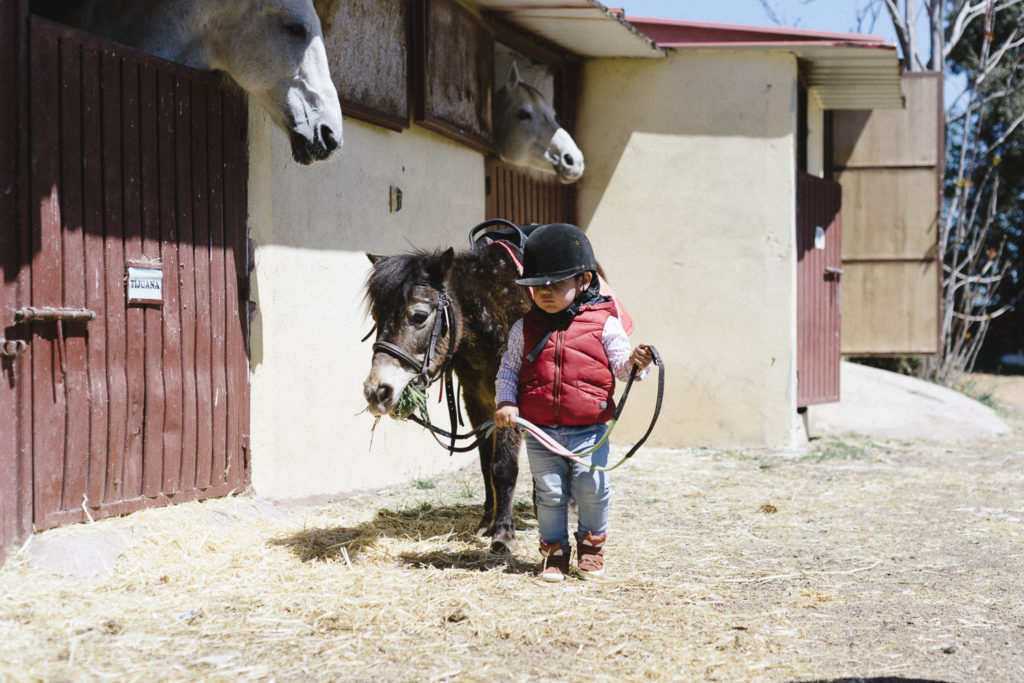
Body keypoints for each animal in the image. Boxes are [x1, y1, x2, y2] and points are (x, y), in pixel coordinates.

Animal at [362, 242, 528, 552]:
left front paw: (503, 533)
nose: (376, 392)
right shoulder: (477, 400)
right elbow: (486, 460)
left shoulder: (511, 403)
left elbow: (503, 465)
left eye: (418, 316)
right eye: (377, 318)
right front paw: (487, 522)